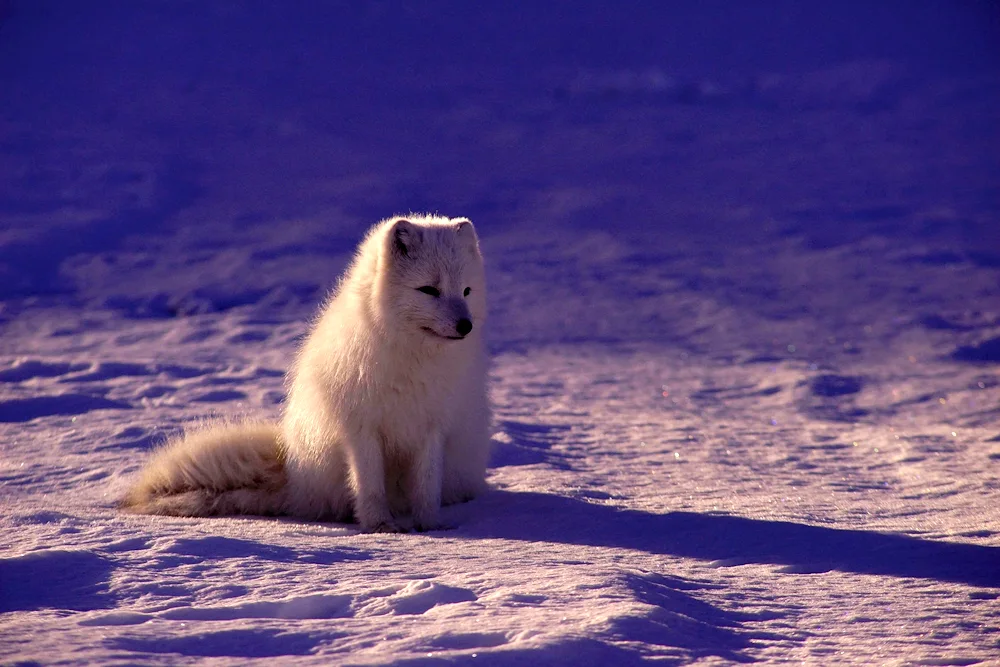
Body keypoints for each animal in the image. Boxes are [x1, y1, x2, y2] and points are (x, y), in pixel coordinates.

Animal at [121, 217, 492, 536]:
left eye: (466, 291)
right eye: (429, 290)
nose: (466, 326)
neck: (413, 359)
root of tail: (293, 474)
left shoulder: (433, 426)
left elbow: (427, 486)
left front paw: (430, 525)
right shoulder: (361, 427)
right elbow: (370, 485)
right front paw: (380, 526)